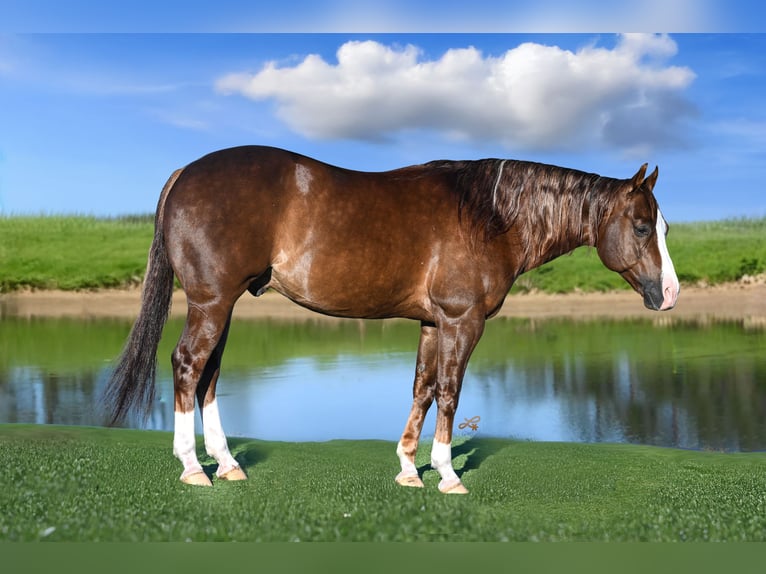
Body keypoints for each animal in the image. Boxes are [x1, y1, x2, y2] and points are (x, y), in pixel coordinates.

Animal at [104, 145, 679, 494]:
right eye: (642, 226)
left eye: (662, 227)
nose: (670, 294)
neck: (491, 218)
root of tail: (186, 172)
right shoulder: (463, 322)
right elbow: (449, 391)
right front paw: (447, 474)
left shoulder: (433, 323)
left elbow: (422, 388)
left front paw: (408, 469)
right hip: (211, 303)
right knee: (187, 365)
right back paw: (192, 467)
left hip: (222, 306)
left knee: (209, 375)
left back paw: (227, 464)